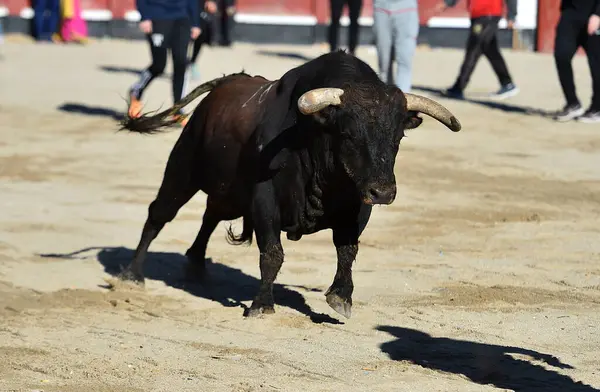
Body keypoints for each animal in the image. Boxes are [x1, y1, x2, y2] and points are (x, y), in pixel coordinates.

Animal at [118, 49, 464, 318]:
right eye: (348, 134)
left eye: (398, 138)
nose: (383, 192)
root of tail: (226, 83)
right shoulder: (264, 201)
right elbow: (272, 253)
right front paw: (261, 305)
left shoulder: (357, 206)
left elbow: (347, 249)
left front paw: (341, 297)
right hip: (183, 169)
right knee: (159, 213)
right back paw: (132, 275)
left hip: (228, 195)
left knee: (211, 215)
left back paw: (196, 266)